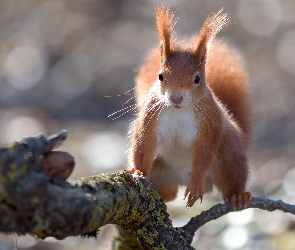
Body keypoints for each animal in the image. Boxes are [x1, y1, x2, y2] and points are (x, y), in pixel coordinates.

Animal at [128, 5, 253, 209]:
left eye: (197, 78)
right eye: (160, 76)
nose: (176, 98)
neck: (179, 111)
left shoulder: (209, 126)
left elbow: (204, 155)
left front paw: (195, 185)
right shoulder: (151, 117)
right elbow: (143, 144)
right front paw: (139, 172)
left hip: (230, 155)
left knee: (231, 180)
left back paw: (237, 196)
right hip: (161, 169)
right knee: (168, 193)